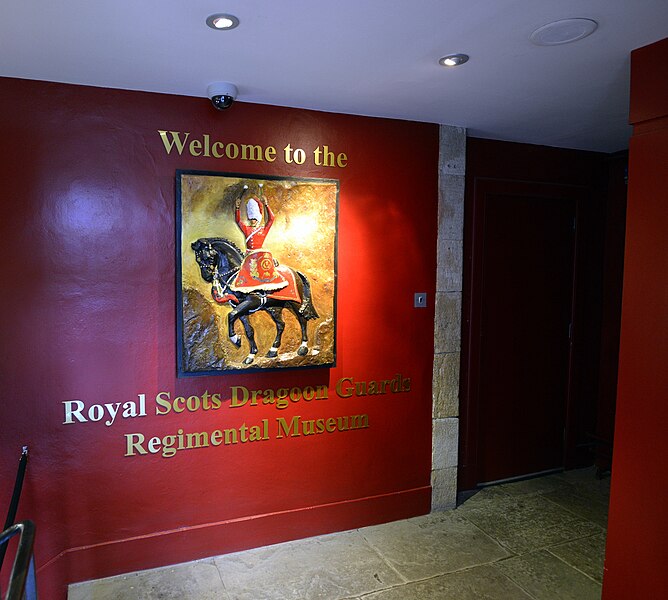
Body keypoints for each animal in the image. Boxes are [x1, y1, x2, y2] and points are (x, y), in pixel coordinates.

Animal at [192, 237, 320, 364]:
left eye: (207, 257)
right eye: (197, 259)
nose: (206, 276)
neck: (236, 278)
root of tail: (295, 272)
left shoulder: (250, 302)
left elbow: (231, 315)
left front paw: (236, 339)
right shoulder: (240, 308)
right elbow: (248, 330)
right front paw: (251, 355)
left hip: (295, 302)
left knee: (302, 320)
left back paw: (303, 348)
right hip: (274, 307)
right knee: (281, 325)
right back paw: (273, 351)